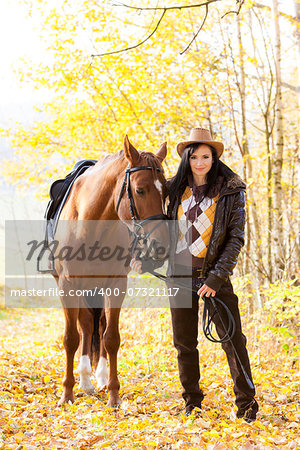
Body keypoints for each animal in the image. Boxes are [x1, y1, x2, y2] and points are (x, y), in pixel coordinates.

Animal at [53, 135, 169, 406]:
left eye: (167, 191)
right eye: (140, 190)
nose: (160, 247)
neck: (90, 225)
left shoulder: (116, 285)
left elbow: (111, 338)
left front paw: (114, 394)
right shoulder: (67, 286)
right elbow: (71, 338)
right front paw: (67, 394)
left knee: (99, 326)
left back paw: (101, 378)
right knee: (86, 326)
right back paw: (85, 381)